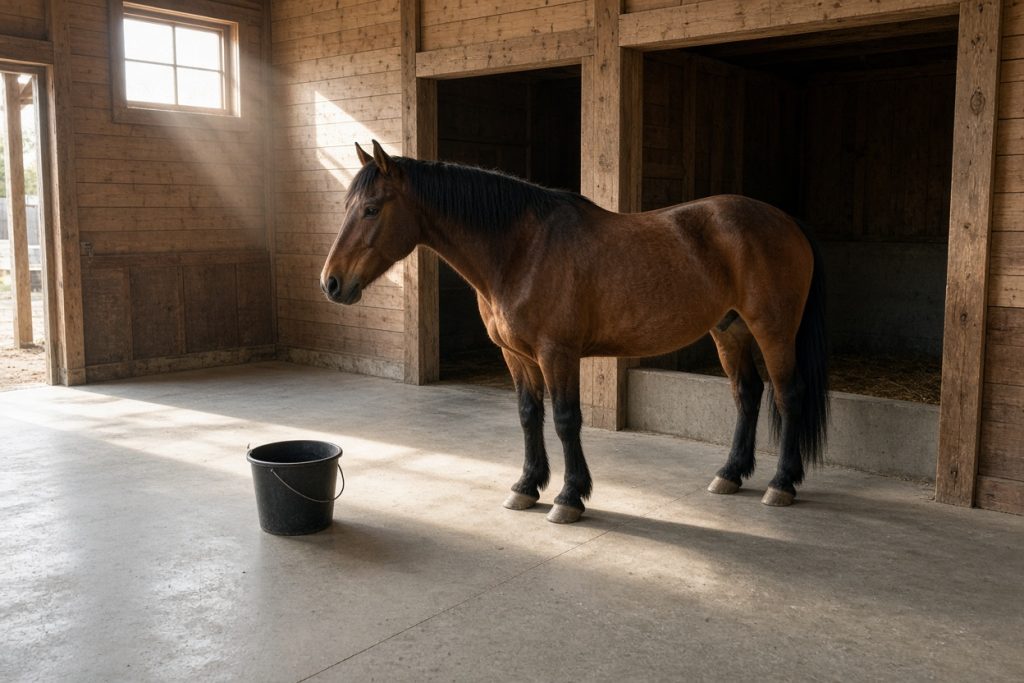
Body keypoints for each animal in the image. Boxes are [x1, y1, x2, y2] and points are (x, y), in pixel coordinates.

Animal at [321, 140, 829, 524]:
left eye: (371, 209)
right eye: (345, 207)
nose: (331, 283)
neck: (521, 250)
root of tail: (787, 221)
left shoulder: (556, 353)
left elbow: (566, 420)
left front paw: (569, 497)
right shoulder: (517, 356)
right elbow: (529, 416)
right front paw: (526, 486)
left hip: (773, 330)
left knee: (788, 395)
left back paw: (782, 483)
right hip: (729, 330)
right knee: (747, 394)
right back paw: (730, 474)